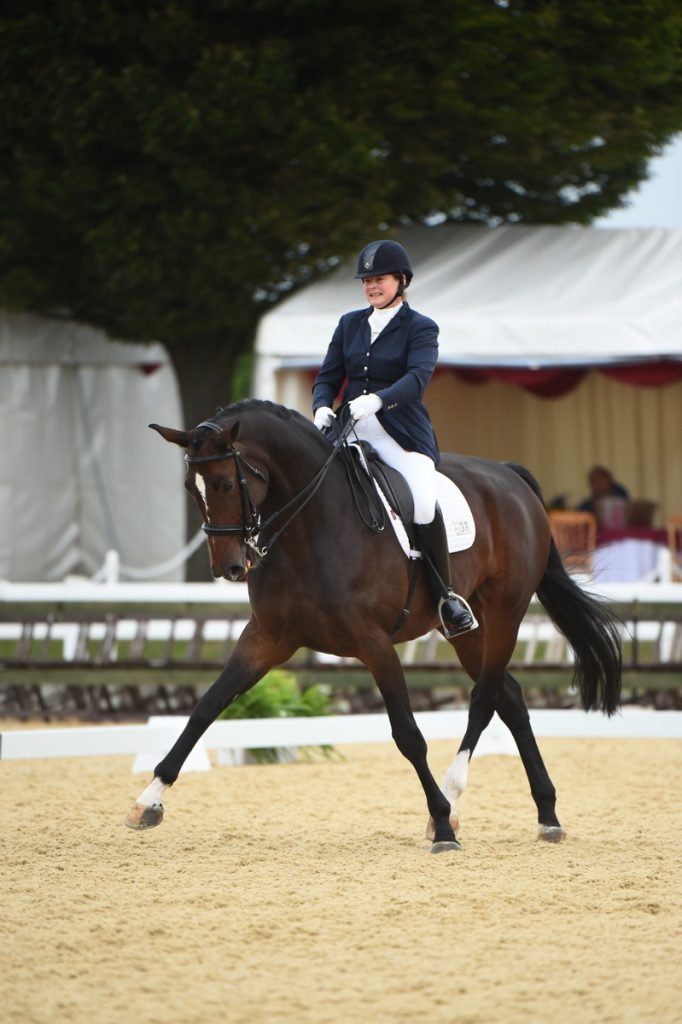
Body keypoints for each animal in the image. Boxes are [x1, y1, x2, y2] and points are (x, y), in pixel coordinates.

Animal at [124, 399, 618, 856]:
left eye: (227, 483)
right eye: (190, 488)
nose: (227, 567)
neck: (312, 526)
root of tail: (511, 477)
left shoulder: (375, 643)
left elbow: (408, 735)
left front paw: (441, 824)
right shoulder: (266, 638)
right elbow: (205, 709)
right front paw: (147, 802)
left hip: (505, 613)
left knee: (485, 697)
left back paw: (454, 799)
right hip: (464, 628)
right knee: (510, 697)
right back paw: (547, 815)